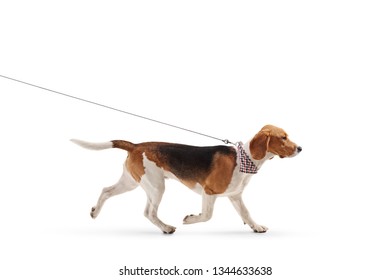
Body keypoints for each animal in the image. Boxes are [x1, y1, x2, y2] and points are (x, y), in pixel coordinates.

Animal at [71, 124, 302, 234]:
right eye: (283, 137)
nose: (300, 148)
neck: (245, 158)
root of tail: (136, 145)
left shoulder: (235, 195)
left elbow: (246, 213)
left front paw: (256, 227)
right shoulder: (209, 193)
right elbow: (207, 216)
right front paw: (190, 219)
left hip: (132, 182)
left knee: (106, 191)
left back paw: (95, 212)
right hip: (156, 186)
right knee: (149, 212)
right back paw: (166, 228)